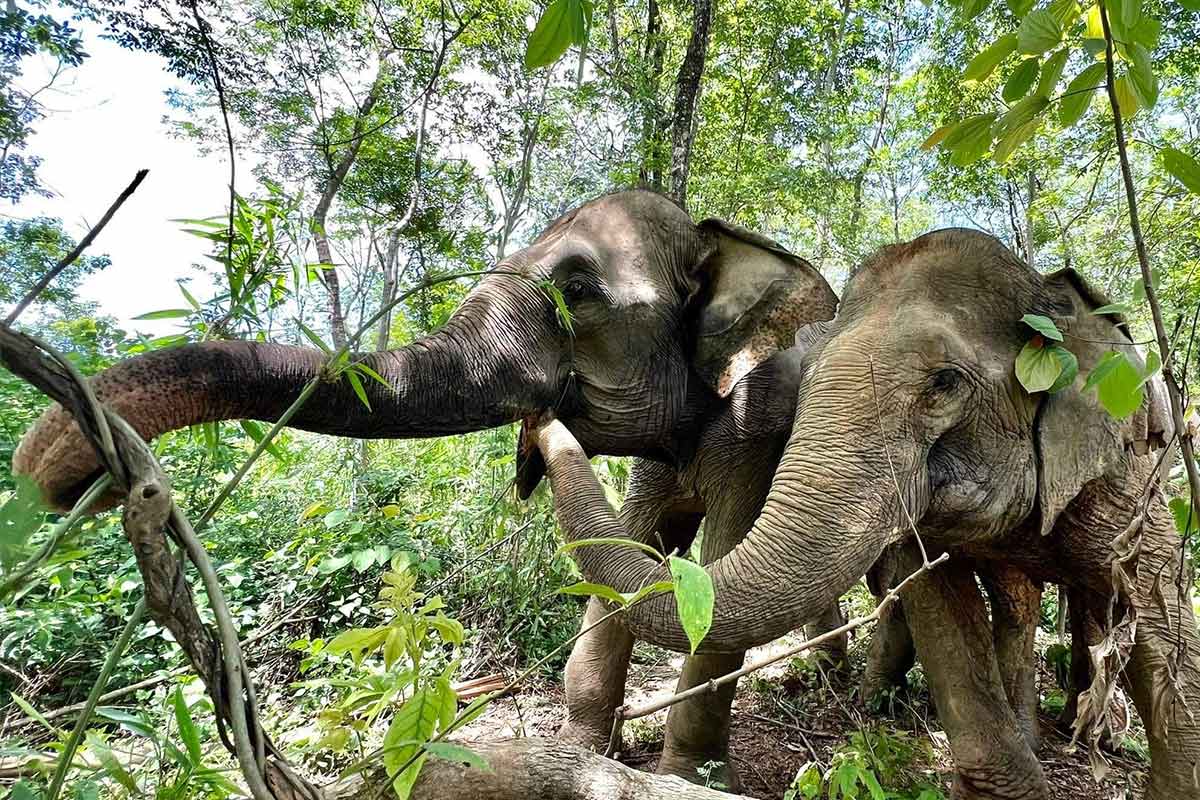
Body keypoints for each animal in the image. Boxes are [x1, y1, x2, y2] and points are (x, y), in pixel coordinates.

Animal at [530, 227, 1200, 800]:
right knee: (1015, 602)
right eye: (804, 381)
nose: (542, 411)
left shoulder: (1128, 475)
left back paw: (1082, 731)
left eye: (944, 383)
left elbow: (1163, 615)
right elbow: (941, 611)